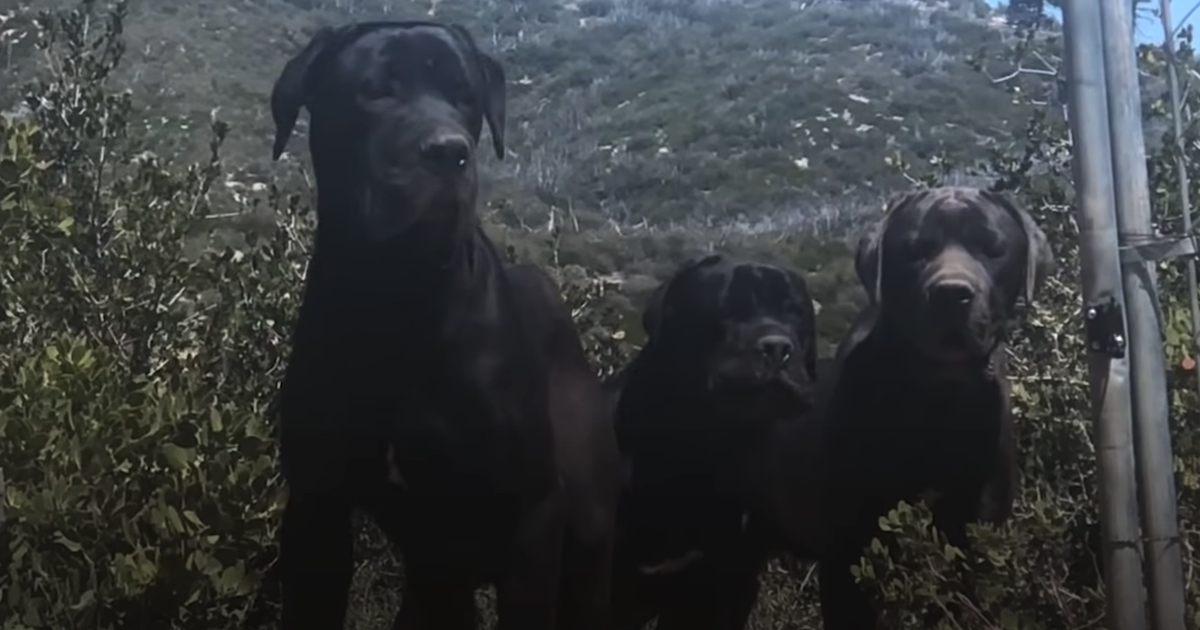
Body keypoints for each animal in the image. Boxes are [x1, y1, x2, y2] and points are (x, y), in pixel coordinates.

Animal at [268, 19, 624, 628]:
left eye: (466, 98)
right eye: (374, 90)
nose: (448, 152)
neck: (402, 295)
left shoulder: (531, 510)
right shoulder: (317, 503)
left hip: (586, 533)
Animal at [816, 187, 1060, 628]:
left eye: (991, 248)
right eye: (915, 250)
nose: (952, 292)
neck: (938, 401)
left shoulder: (980, 521)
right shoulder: (847, 545)